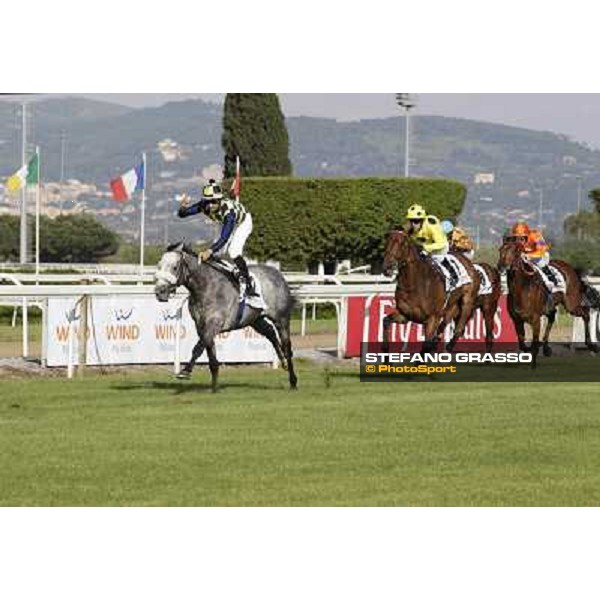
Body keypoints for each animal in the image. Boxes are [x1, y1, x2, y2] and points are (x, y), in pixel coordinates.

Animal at [154, 241, 296, 392]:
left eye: (174, 267)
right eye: (159, 265)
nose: (159, 291)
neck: (206, 287)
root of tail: (278, 274)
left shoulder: (214, 323)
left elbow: (198, 347)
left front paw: (185, 371)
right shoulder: (201, 325)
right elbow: (210, 353)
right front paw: (214, 387)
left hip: (281, 319)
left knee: (287, 346)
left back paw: (293, 380)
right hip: (255, 319)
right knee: (270, 333)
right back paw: (283, 361)